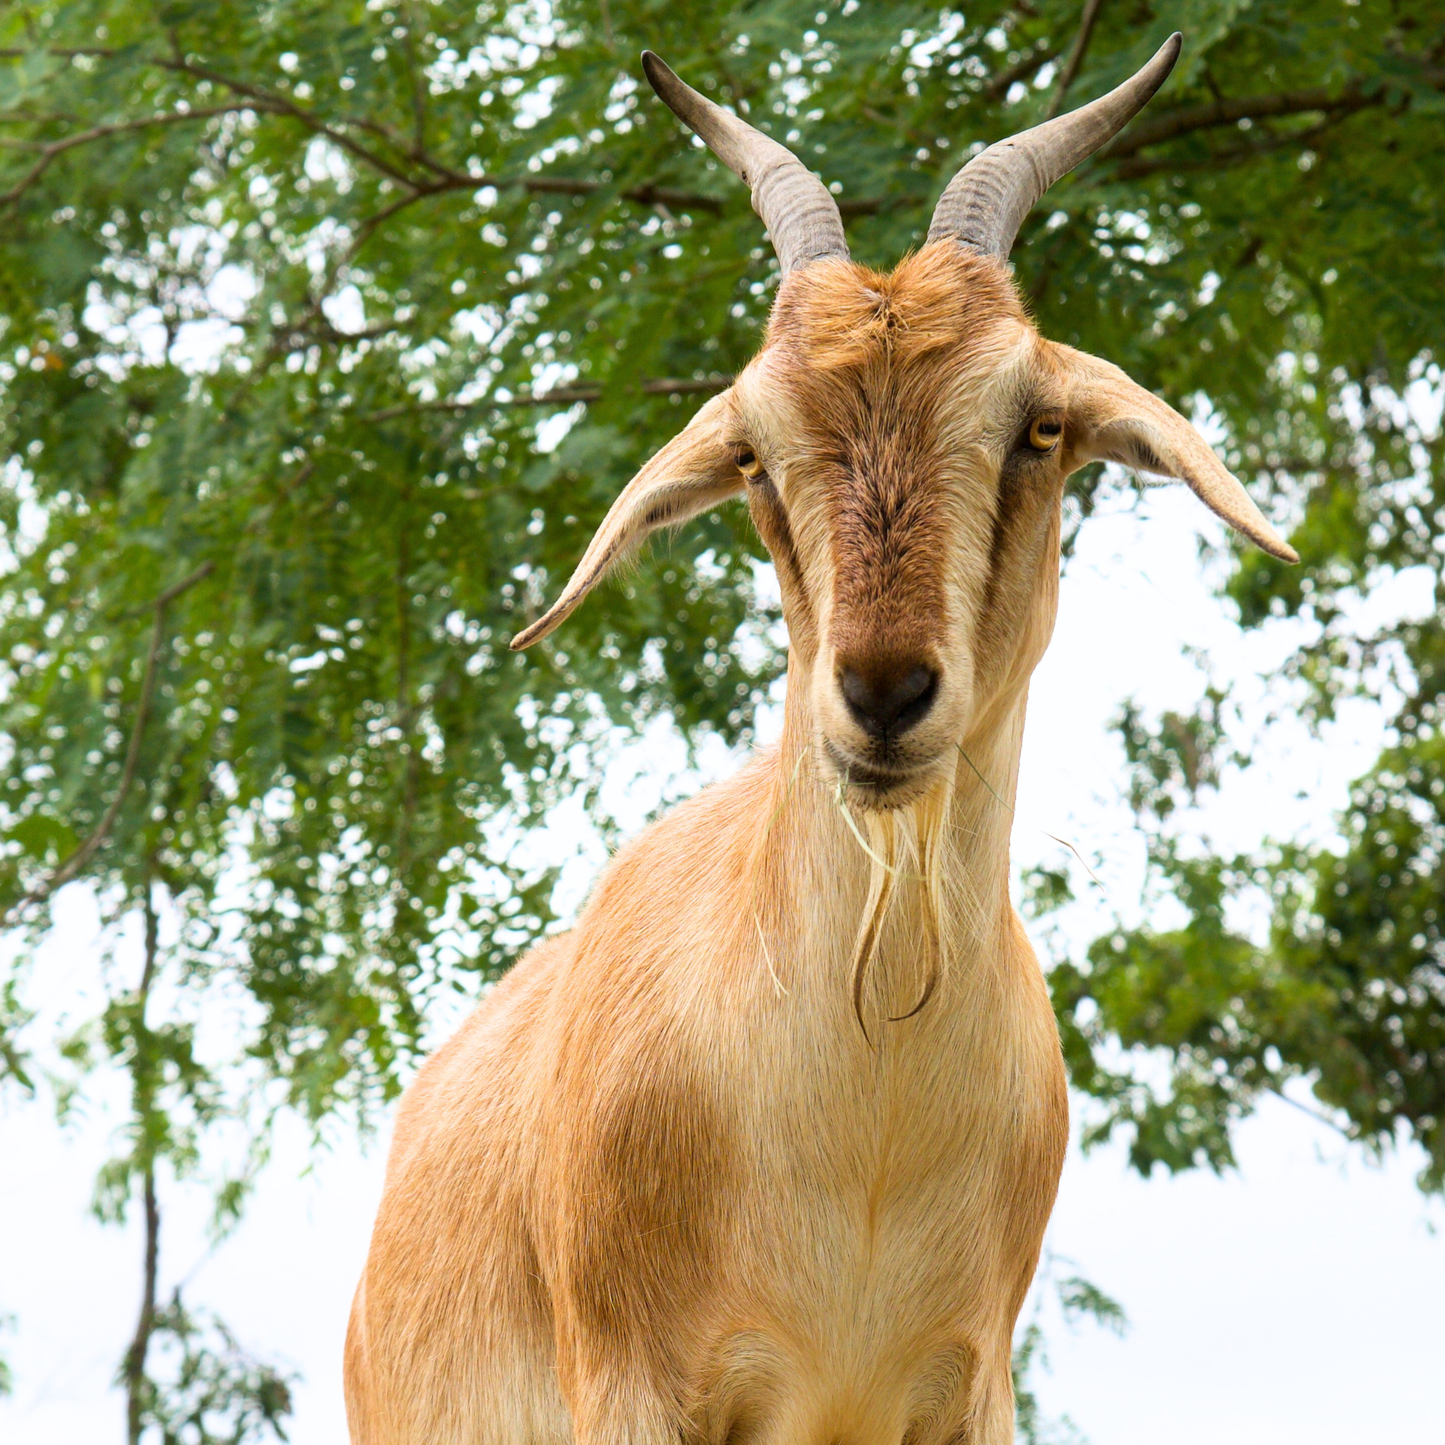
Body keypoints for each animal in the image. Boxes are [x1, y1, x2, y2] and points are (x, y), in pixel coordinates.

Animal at [345, 36, 1295, 1445]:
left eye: (1038, 425)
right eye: (752, 451)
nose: (883, 692)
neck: (865, 1128)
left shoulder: (965, 1390)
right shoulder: (634, 1387)